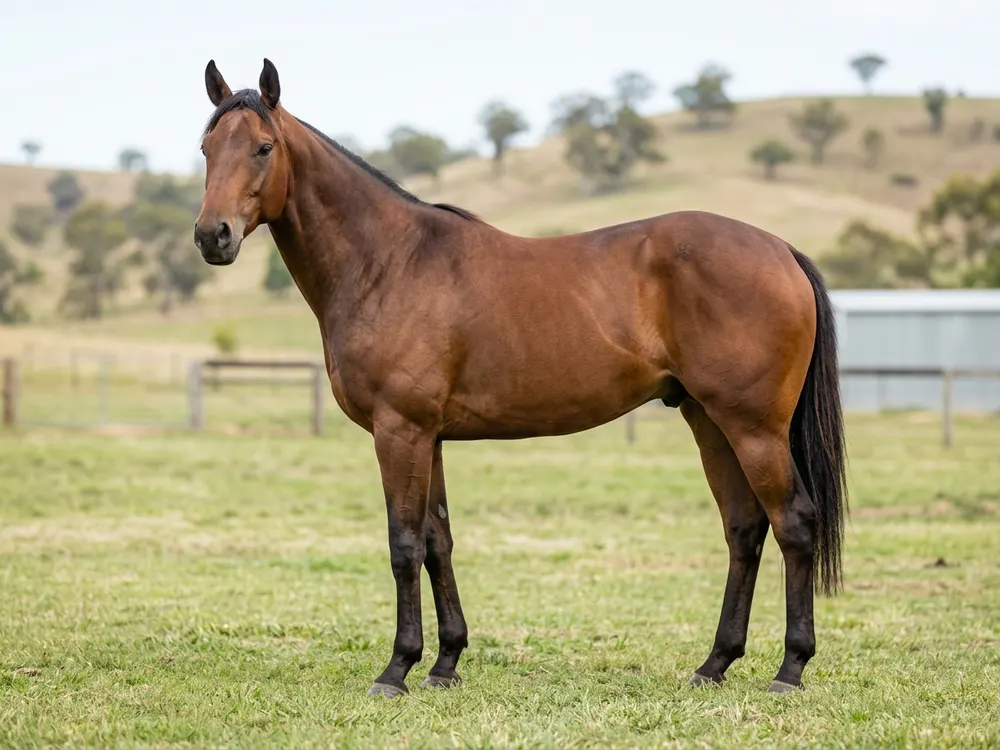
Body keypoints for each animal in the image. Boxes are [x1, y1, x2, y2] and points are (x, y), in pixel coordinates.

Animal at [193, 58, 848, 698]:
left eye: (263, 147)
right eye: (206, 147)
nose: (211, 235)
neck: (388, 263)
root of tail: (780, 250)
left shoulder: (399, 431)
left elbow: (404, 545)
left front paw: (397, 669)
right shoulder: (428, 437)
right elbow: (437, 542)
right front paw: (445, 663)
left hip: (754, 427)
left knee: (794, 524)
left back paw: (789, 669)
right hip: (709, 420)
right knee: (744, 529)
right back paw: (715, 663)